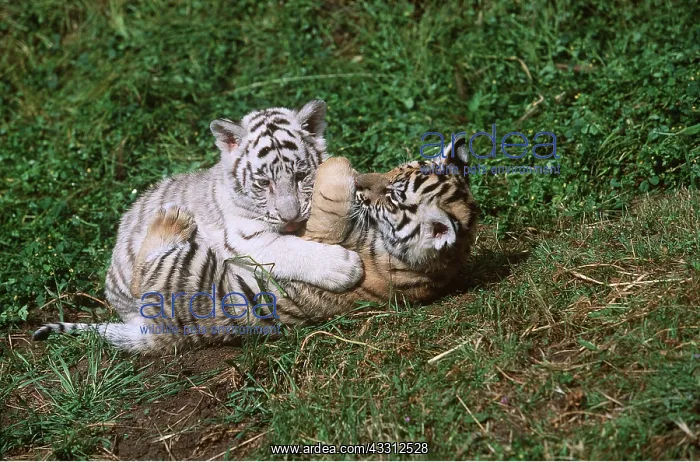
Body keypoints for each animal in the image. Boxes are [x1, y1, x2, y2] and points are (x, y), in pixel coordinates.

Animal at [33, 138, 479, 352]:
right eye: (395, 170)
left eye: (392, 196)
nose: (367, 183)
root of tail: (159, 334)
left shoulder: (321, 230)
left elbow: (329, 190)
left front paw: (334, 165)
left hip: (184, 271)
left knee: (149, 262)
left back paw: (172, 218)